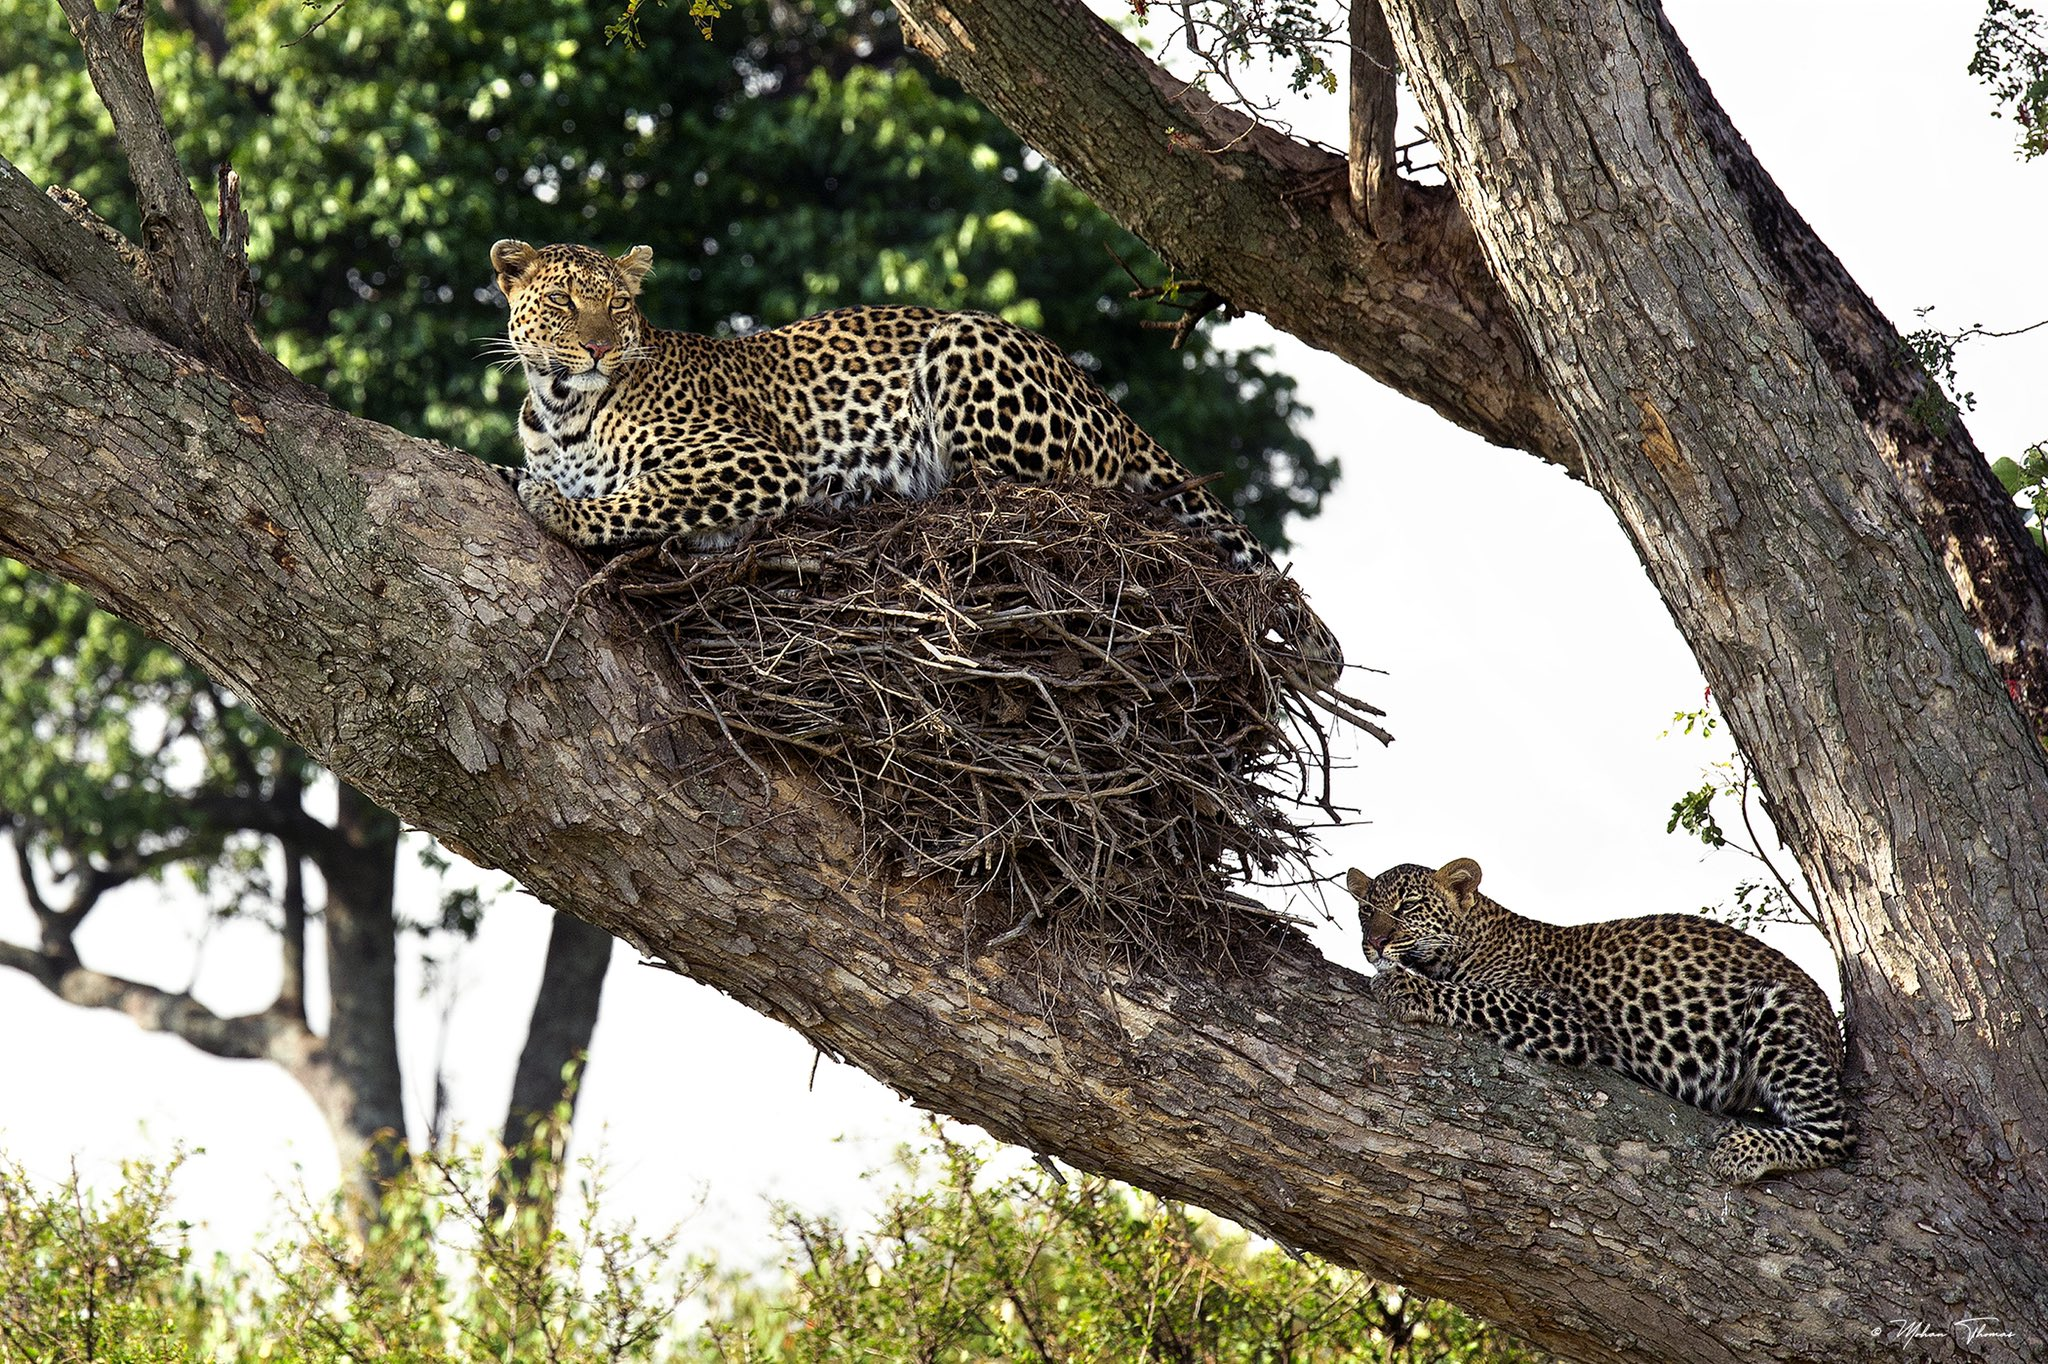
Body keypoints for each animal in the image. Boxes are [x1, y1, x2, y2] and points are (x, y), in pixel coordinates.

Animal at [481, 240, 1343, 684]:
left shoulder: (755, 464)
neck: (562, 409)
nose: (599, 345)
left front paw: (559, 509)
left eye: (618, 305)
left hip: (967, 351)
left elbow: (643, 495)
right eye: (562, 303)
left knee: (1018, 500)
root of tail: (1104, 395)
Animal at [1351, 856, 1851, 1171]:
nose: (1373, 942)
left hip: (1774, 1008)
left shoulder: (1563, 1016)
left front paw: (1404, 986)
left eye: (1408, 908)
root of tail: (1833, 1028)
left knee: (1838, 1131)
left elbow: (1477, 995)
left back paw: (1741, 1153)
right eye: (1365, 911)